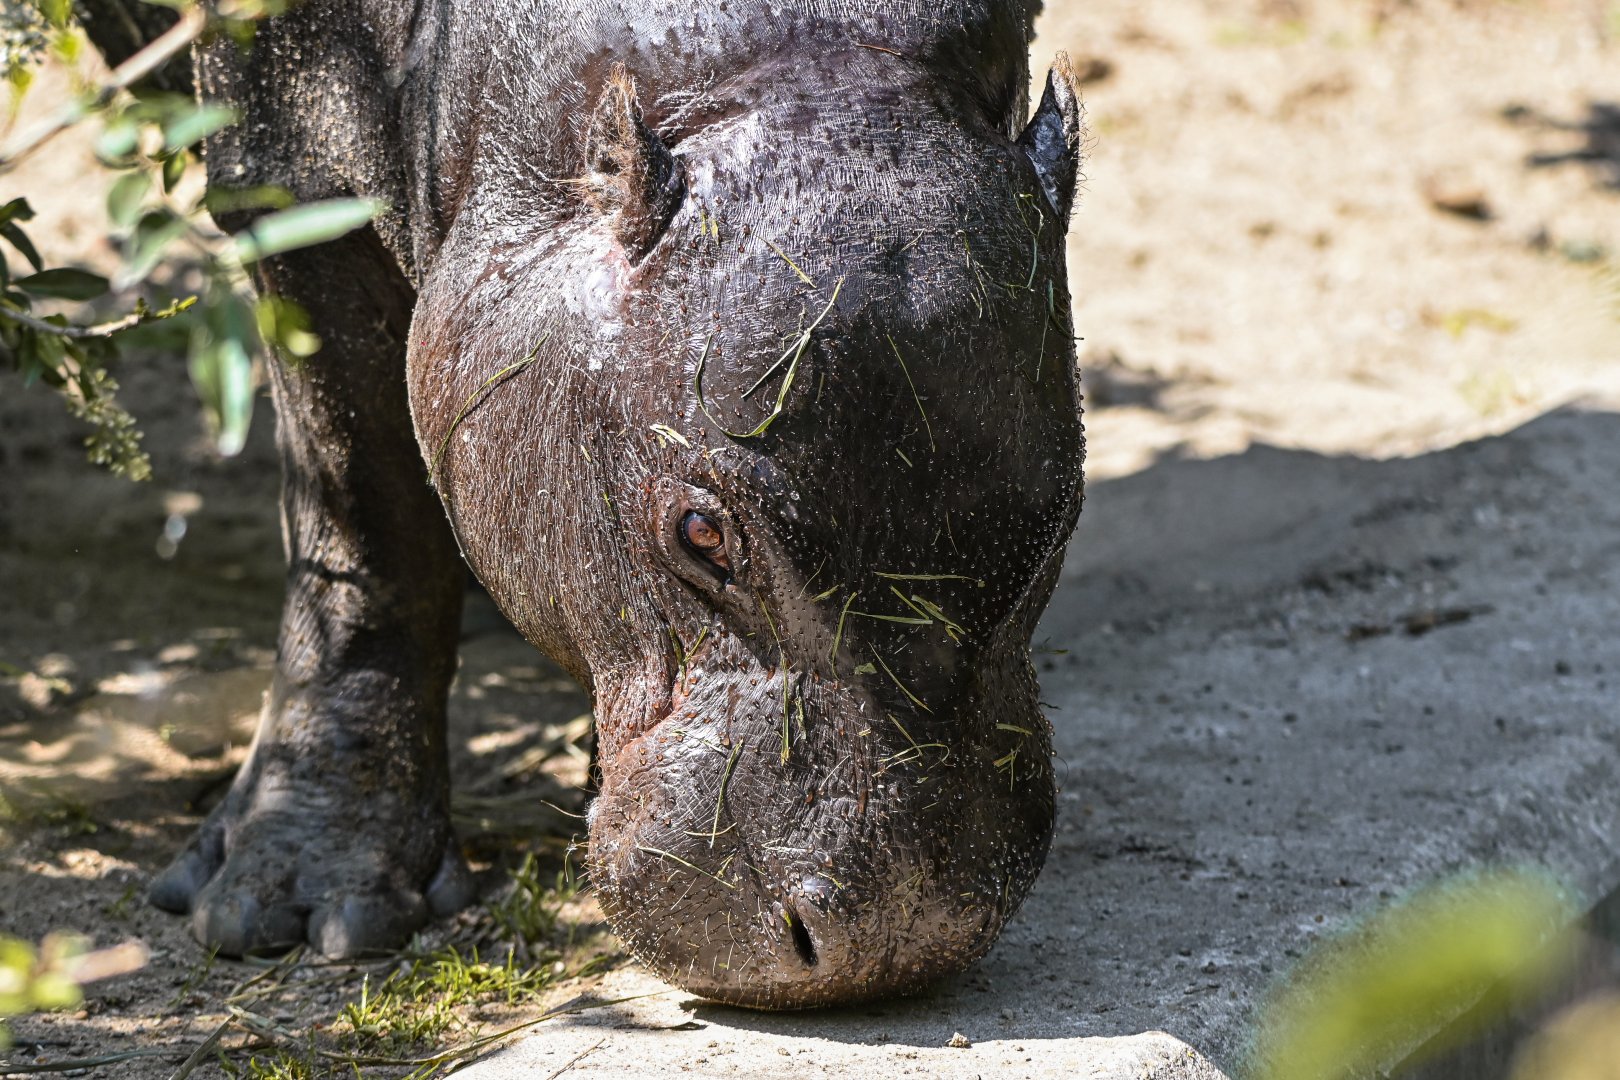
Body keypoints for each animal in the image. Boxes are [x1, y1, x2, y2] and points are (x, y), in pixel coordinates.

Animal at [92, 0, 1086, 1008]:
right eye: (701, 531)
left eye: (1058, 531)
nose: (901, 936)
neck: (802, 68)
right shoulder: (289, 170)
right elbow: (361, 522)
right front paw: (292, 907)